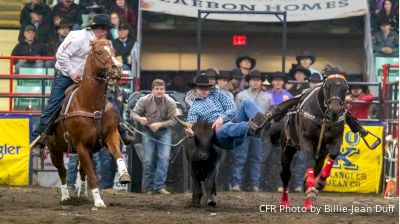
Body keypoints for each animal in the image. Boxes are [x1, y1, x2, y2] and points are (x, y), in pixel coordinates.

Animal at [46, 39, 131, 208]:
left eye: (113, 51)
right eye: (99, 52)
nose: (117, 67)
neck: (91, 106)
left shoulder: (110, 135)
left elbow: (117, 155)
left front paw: (124, 175)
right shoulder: (81, 145)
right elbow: (92, 175)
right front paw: (99, 201)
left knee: (82, 170)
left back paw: (83, 195)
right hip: (54, 150)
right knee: (62, 171)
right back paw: (66, 197)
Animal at [280, 72, 348, 210]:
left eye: (345, 88)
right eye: (327, 86)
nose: (334, 109)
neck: (324, 117)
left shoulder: (336, 140)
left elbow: (332, 155)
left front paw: (320, 182)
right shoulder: (306, 140)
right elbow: (309, 161)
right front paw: (312, 187)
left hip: (320, 156)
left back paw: (308, 202)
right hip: (287, 148)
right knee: (285, 174)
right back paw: (284, 202)